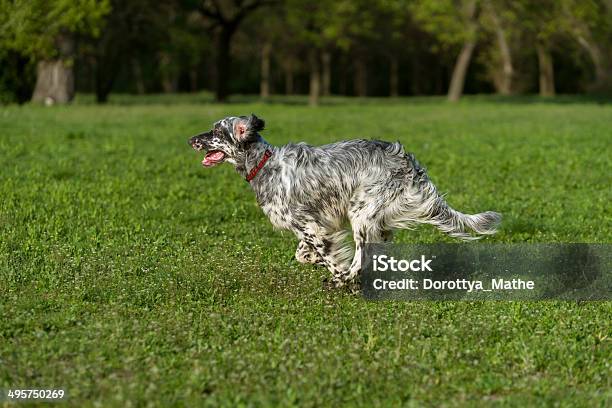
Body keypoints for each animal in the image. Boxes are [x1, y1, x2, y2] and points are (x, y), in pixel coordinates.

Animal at [188, 113, 502, 288]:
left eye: (216, 132)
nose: (190, 140)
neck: (264, 165)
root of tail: (407, 161)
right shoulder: (316, 226)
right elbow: (303, 253)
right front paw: (314, 259)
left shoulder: (310, 226)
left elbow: (328, 256)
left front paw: (336, 272)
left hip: (361, 213)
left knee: (363, 255)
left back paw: (344, 280)